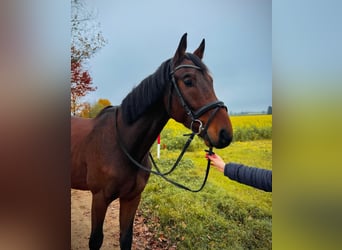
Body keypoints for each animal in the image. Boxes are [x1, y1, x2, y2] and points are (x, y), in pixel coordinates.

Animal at [71, 33, 234, 250]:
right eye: (188, 80)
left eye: (211, 80)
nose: (225, 133)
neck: (123, 145)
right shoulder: (99, 198)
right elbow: (95, 240)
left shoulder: (132, 198)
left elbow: (126, 238)